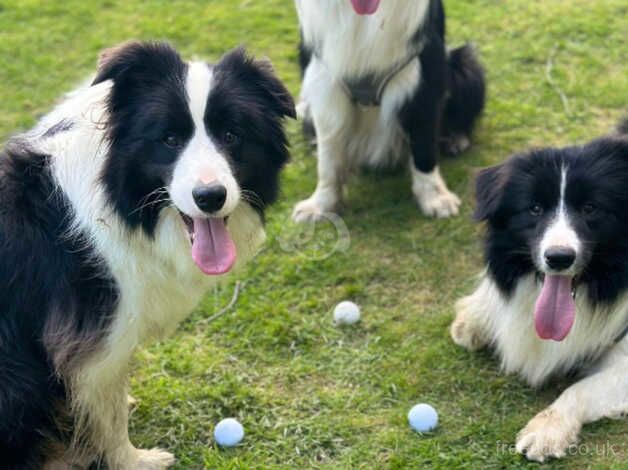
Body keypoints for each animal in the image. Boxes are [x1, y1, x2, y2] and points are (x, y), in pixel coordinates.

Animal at [0, 42, 296, 468]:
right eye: (169, 139)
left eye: (232, 135)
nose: (210, 197)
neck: (121, 201)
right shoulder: (93, 336)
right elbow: (109, 415)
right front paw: (134, 460)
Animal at [294, 0, 486, 222]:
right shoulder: (323, 83)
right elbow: (328, 158)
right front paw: (321, 205)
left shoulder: (423, 78)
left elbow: (424, 145)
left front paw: (436, 199)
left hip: (466, 65)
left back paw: (456, 139)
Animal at [452, 127, 628, 462]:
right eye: (534, 208)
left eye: (590, 208)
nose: (559, 258)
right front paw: (476, 316)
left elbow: (581, 388)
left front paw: (547, 431)